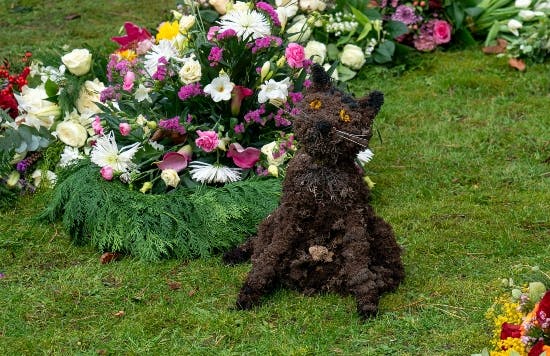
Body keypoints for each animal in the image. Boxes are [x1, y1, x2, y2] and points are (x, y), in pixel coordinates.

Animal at [224, 65, 406, 318]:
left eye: (346, 117)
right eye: (317, 104)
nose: (323, 125)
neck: (322, 169)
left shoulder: (354, 212)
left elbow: (359, 262)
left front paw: (368, 302)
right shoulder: (291, 211)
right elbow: (270, 255)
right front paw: (248, 294)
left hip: (379, 228)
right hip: (273, 219)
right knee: (259, 240)